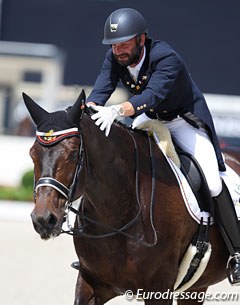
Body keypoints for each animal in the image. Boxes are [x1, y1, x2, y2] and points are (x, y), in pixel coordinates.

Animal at [23, 91, 240, 304]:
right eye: (32, 154)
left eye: (73, 154)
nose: (43, 220)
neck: (117, 214)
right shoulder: (89, 283)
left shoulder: (159, 287)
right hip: (195, 288)